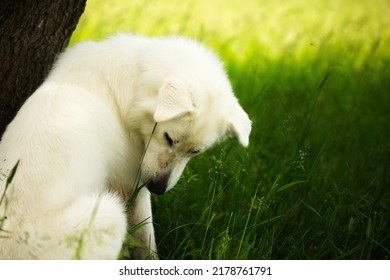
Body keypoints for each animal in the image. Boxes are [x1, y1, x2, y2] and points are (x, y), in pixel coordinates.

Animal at [0, 35, 251, 260]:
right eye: (169, 138)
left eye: (194, 152)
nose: (158, 189)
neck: (136, 81)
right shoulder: (131, 185)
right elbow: (147, 241)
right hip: (109, 212)